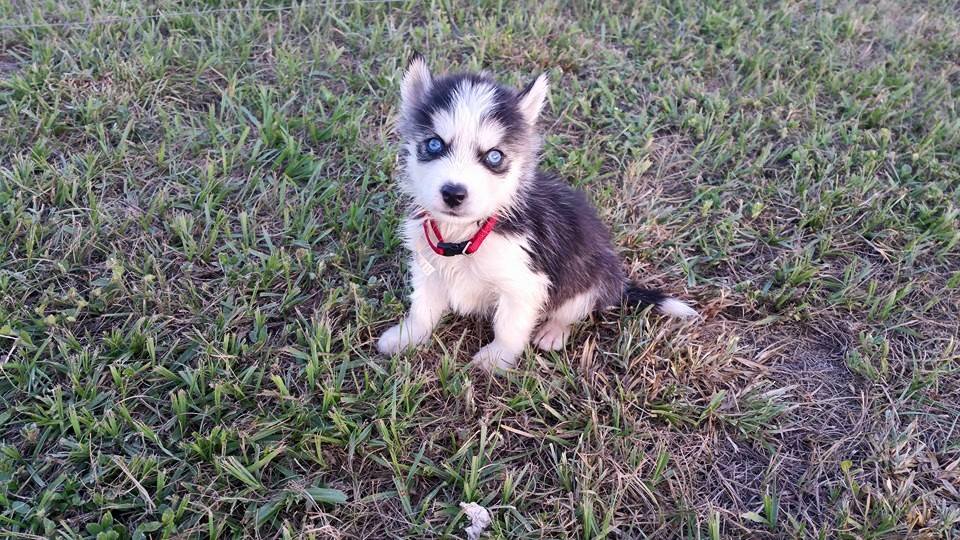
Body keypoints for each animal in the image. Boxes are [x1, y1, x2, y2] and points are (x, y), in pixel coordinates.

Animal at [376, 58, 696, 372]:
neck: (465, 234)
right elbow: (422, 308)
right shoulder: (427, 266)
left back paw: (554, 330)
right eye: (434, 144)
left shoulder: (525, 283)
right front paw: (407, 337)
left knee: (574, 308)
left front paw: (496, 359)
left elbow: (509, 325)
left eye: (494, 156)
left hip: (587, 276)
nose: (454, 193)